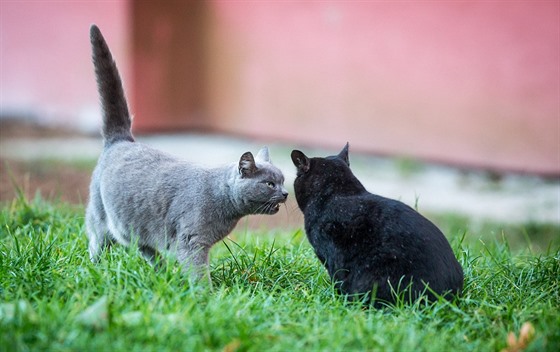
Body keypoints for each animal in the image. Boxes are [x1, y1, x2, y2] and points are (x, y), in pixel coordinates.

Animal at [88, 24, 288, 282]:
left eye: (283, 181)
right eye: (270, 184)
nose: (285, 193)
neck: (222, 200)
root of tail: (121, 140)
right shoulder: (192, 240)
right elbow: (198, 271)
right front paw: (204, 291)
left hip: (139, 225)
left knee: (146, 249)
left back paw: (162, 275)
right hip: (100, 217)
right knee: (96, 243)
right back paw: (96, 269)